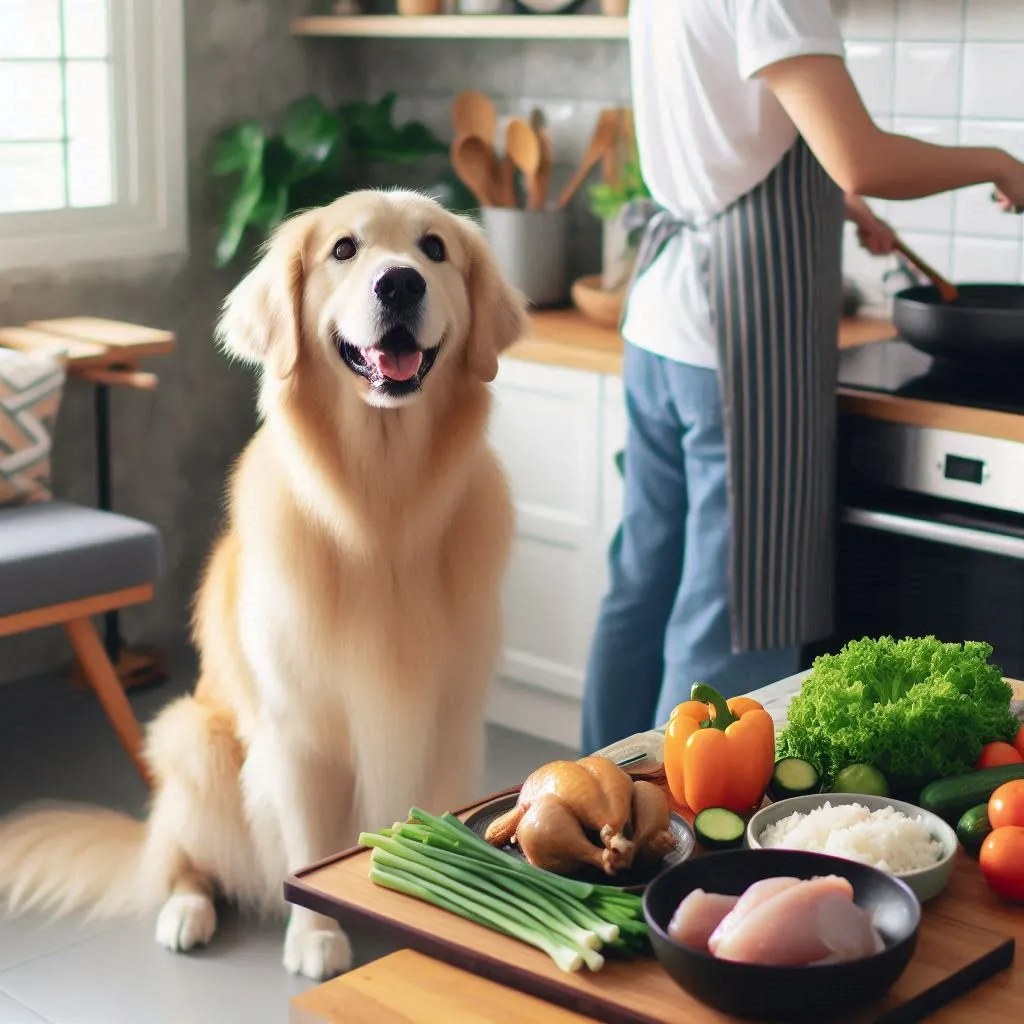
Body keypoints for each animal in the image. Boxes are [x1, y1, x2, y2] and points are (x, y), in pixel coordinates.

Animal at [0, 188, 528, 978]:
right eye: (344, 249)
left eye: (434, 248)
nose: (399, 283)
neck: (383, 510)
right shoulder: (300, 728)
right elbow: (306, 847)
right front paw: (315, 938)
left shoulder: (452, 722)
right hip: (192, 739)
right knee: (187, 864)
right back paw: (186, 913)